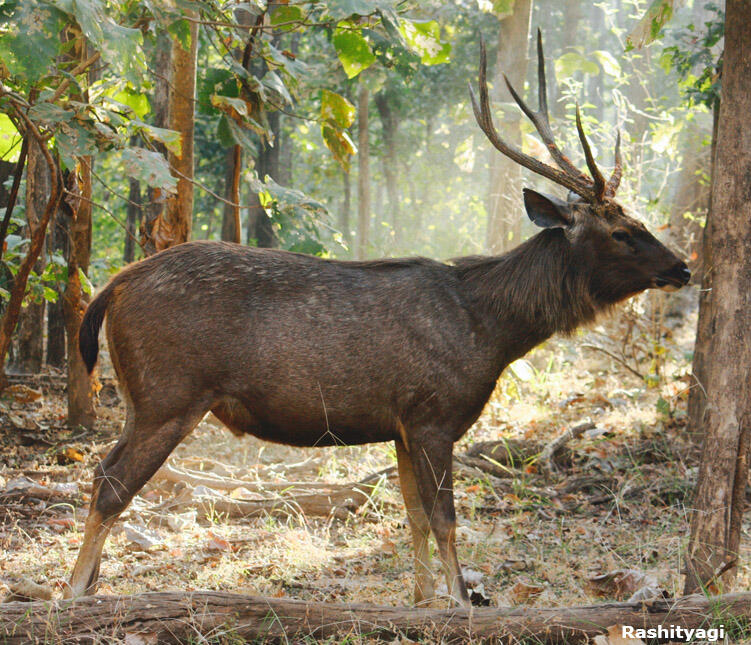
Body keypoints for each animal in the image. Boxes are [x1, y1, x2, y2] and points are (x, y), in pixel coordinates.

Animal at [64, 32, 688, 608]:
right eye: (621, 232)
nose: (682, 266)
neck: (491, 332)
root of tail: (114, 285)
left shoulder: (402, 425)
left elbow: (412, 515)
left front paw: (422, 599)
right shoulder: (434, 414)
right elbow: (445, 518)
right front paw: (460, 601)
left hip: (142, 398)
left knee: (100, 472)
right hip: (168, 394)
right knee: (110, 484)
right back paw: (71, 594)